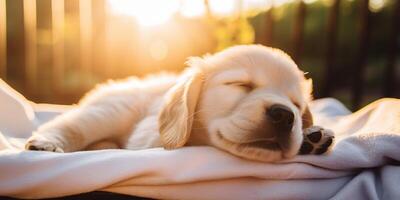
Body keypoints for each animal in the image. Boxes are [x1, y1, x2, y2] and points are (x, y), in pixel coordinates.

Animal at [25, 45, 334, 161]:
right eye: (241, 85)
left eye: (296, 105)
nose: (285, 115)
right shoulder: (146, 137)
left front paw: (312, 135)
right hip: (110, 111)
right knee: (69, 126)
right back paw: (46, 143)